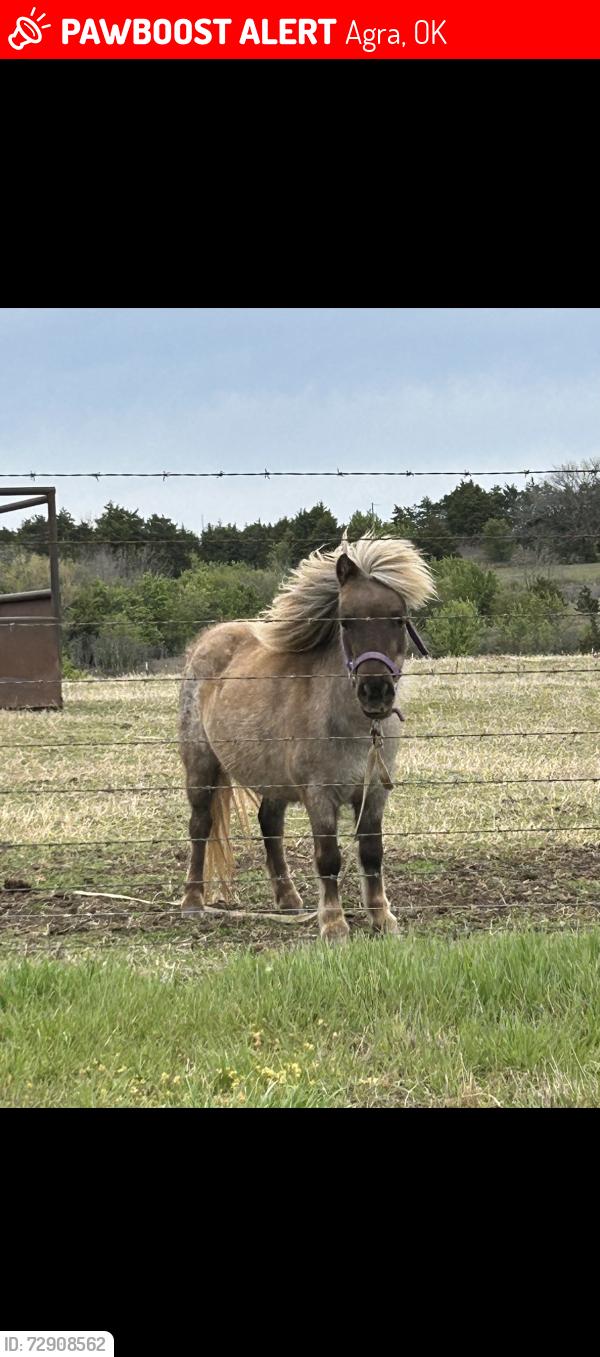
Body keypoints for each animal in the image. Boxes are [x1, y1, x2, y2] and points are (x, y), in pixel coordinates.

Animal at [179, 535, 436, 942]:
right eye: (346, 621)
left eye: (398, 619)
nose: (375, 691)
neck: (350, 726)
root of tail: (208, 638)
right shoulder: (319, 795)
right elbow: (328, 858)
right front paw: (334, 925)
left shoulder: (373, 794)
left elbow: (372, 854)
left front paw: (382, 919)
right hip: (201, 767)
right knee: (200, 826)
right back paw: (192, 902)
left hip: (271, 779)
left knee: (270, 825)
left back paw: (288, 900)